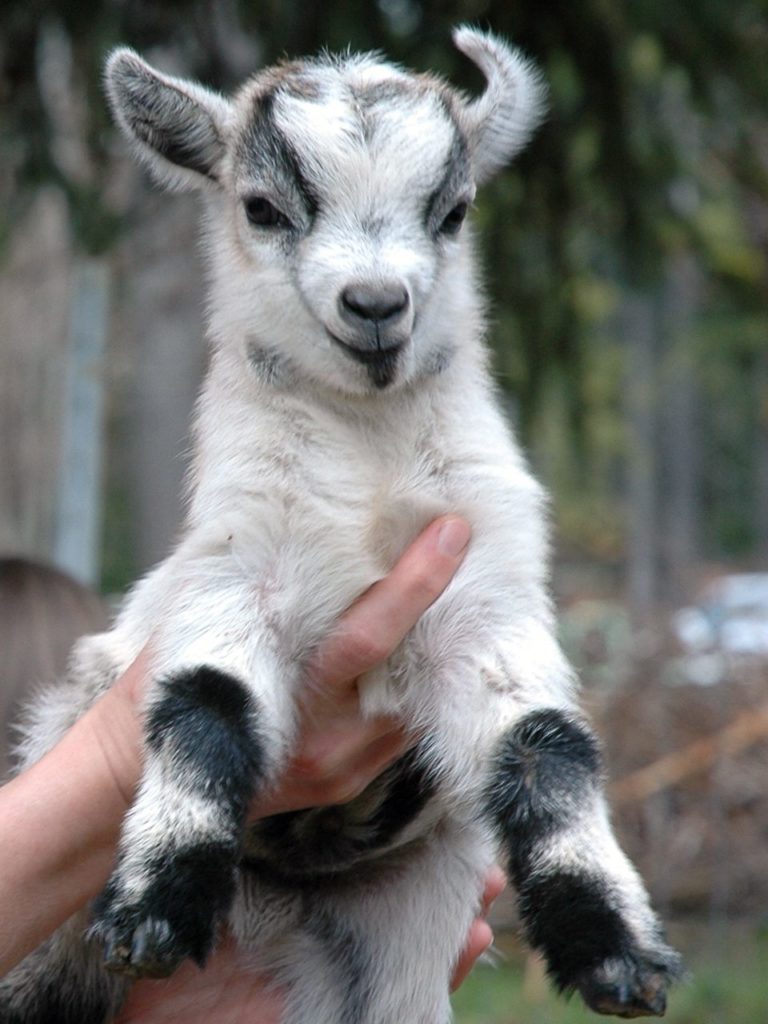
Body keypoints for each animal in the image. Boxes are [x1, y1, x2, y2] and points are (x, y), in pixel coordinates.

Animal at [1, 27, 680, 1023]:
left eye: (454, 211)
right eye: (261, 208)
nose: (376, 306)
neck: (368, 466)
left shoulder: (486, 593)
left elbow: (545, 745)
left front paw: (615, 952)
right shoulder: (237, 565)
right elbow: (206, 702)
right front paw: (159, 906)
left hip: (399, 934)